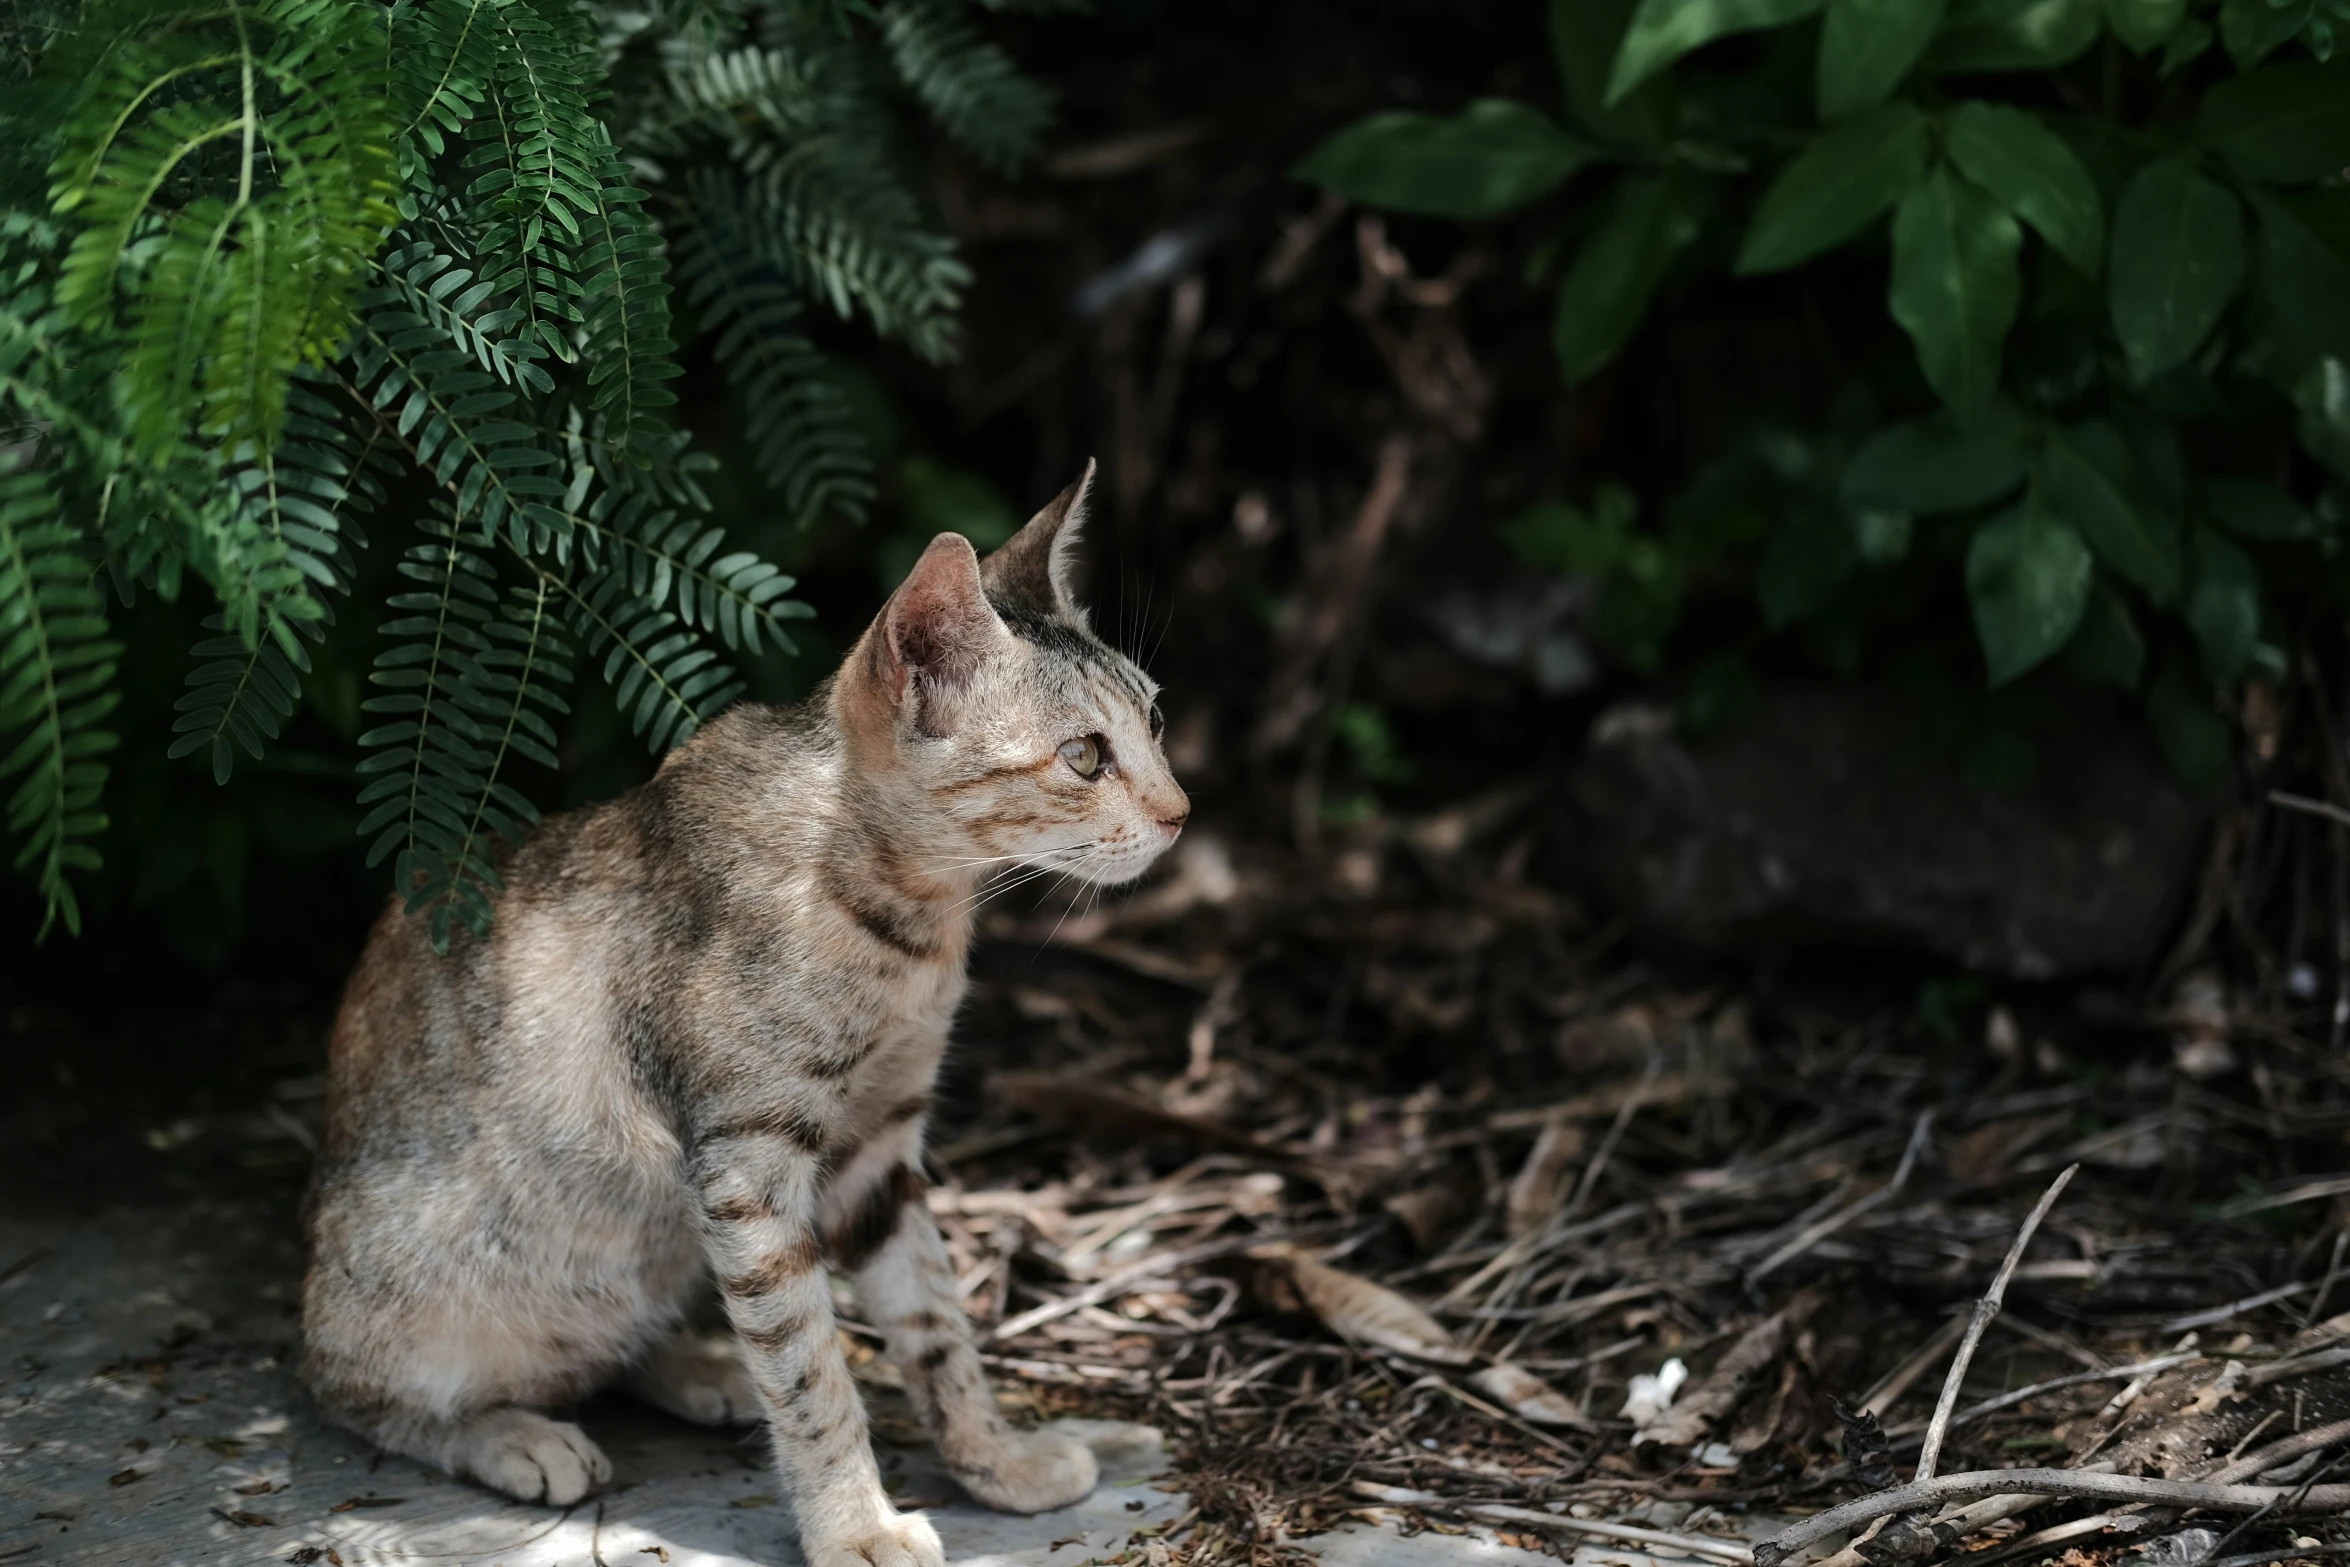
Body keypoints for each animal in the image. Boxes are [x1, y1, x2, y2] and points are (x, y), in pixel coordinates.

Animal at [303, 469, 1193, 1567]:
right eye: (1082, 756)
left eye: (1155, 718)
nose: (1181, 812)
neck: (909, 926)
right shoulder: (748, 1169)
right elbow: (810, 1365)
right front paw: (857, 1526)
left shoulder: (878, 1145)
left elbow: (935, 1323)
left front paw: (995, 1462)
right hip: (419, 1287)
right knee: (361, 1393)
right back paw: (513, 1433)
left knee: (610, 1343)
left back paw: (695, 1366)